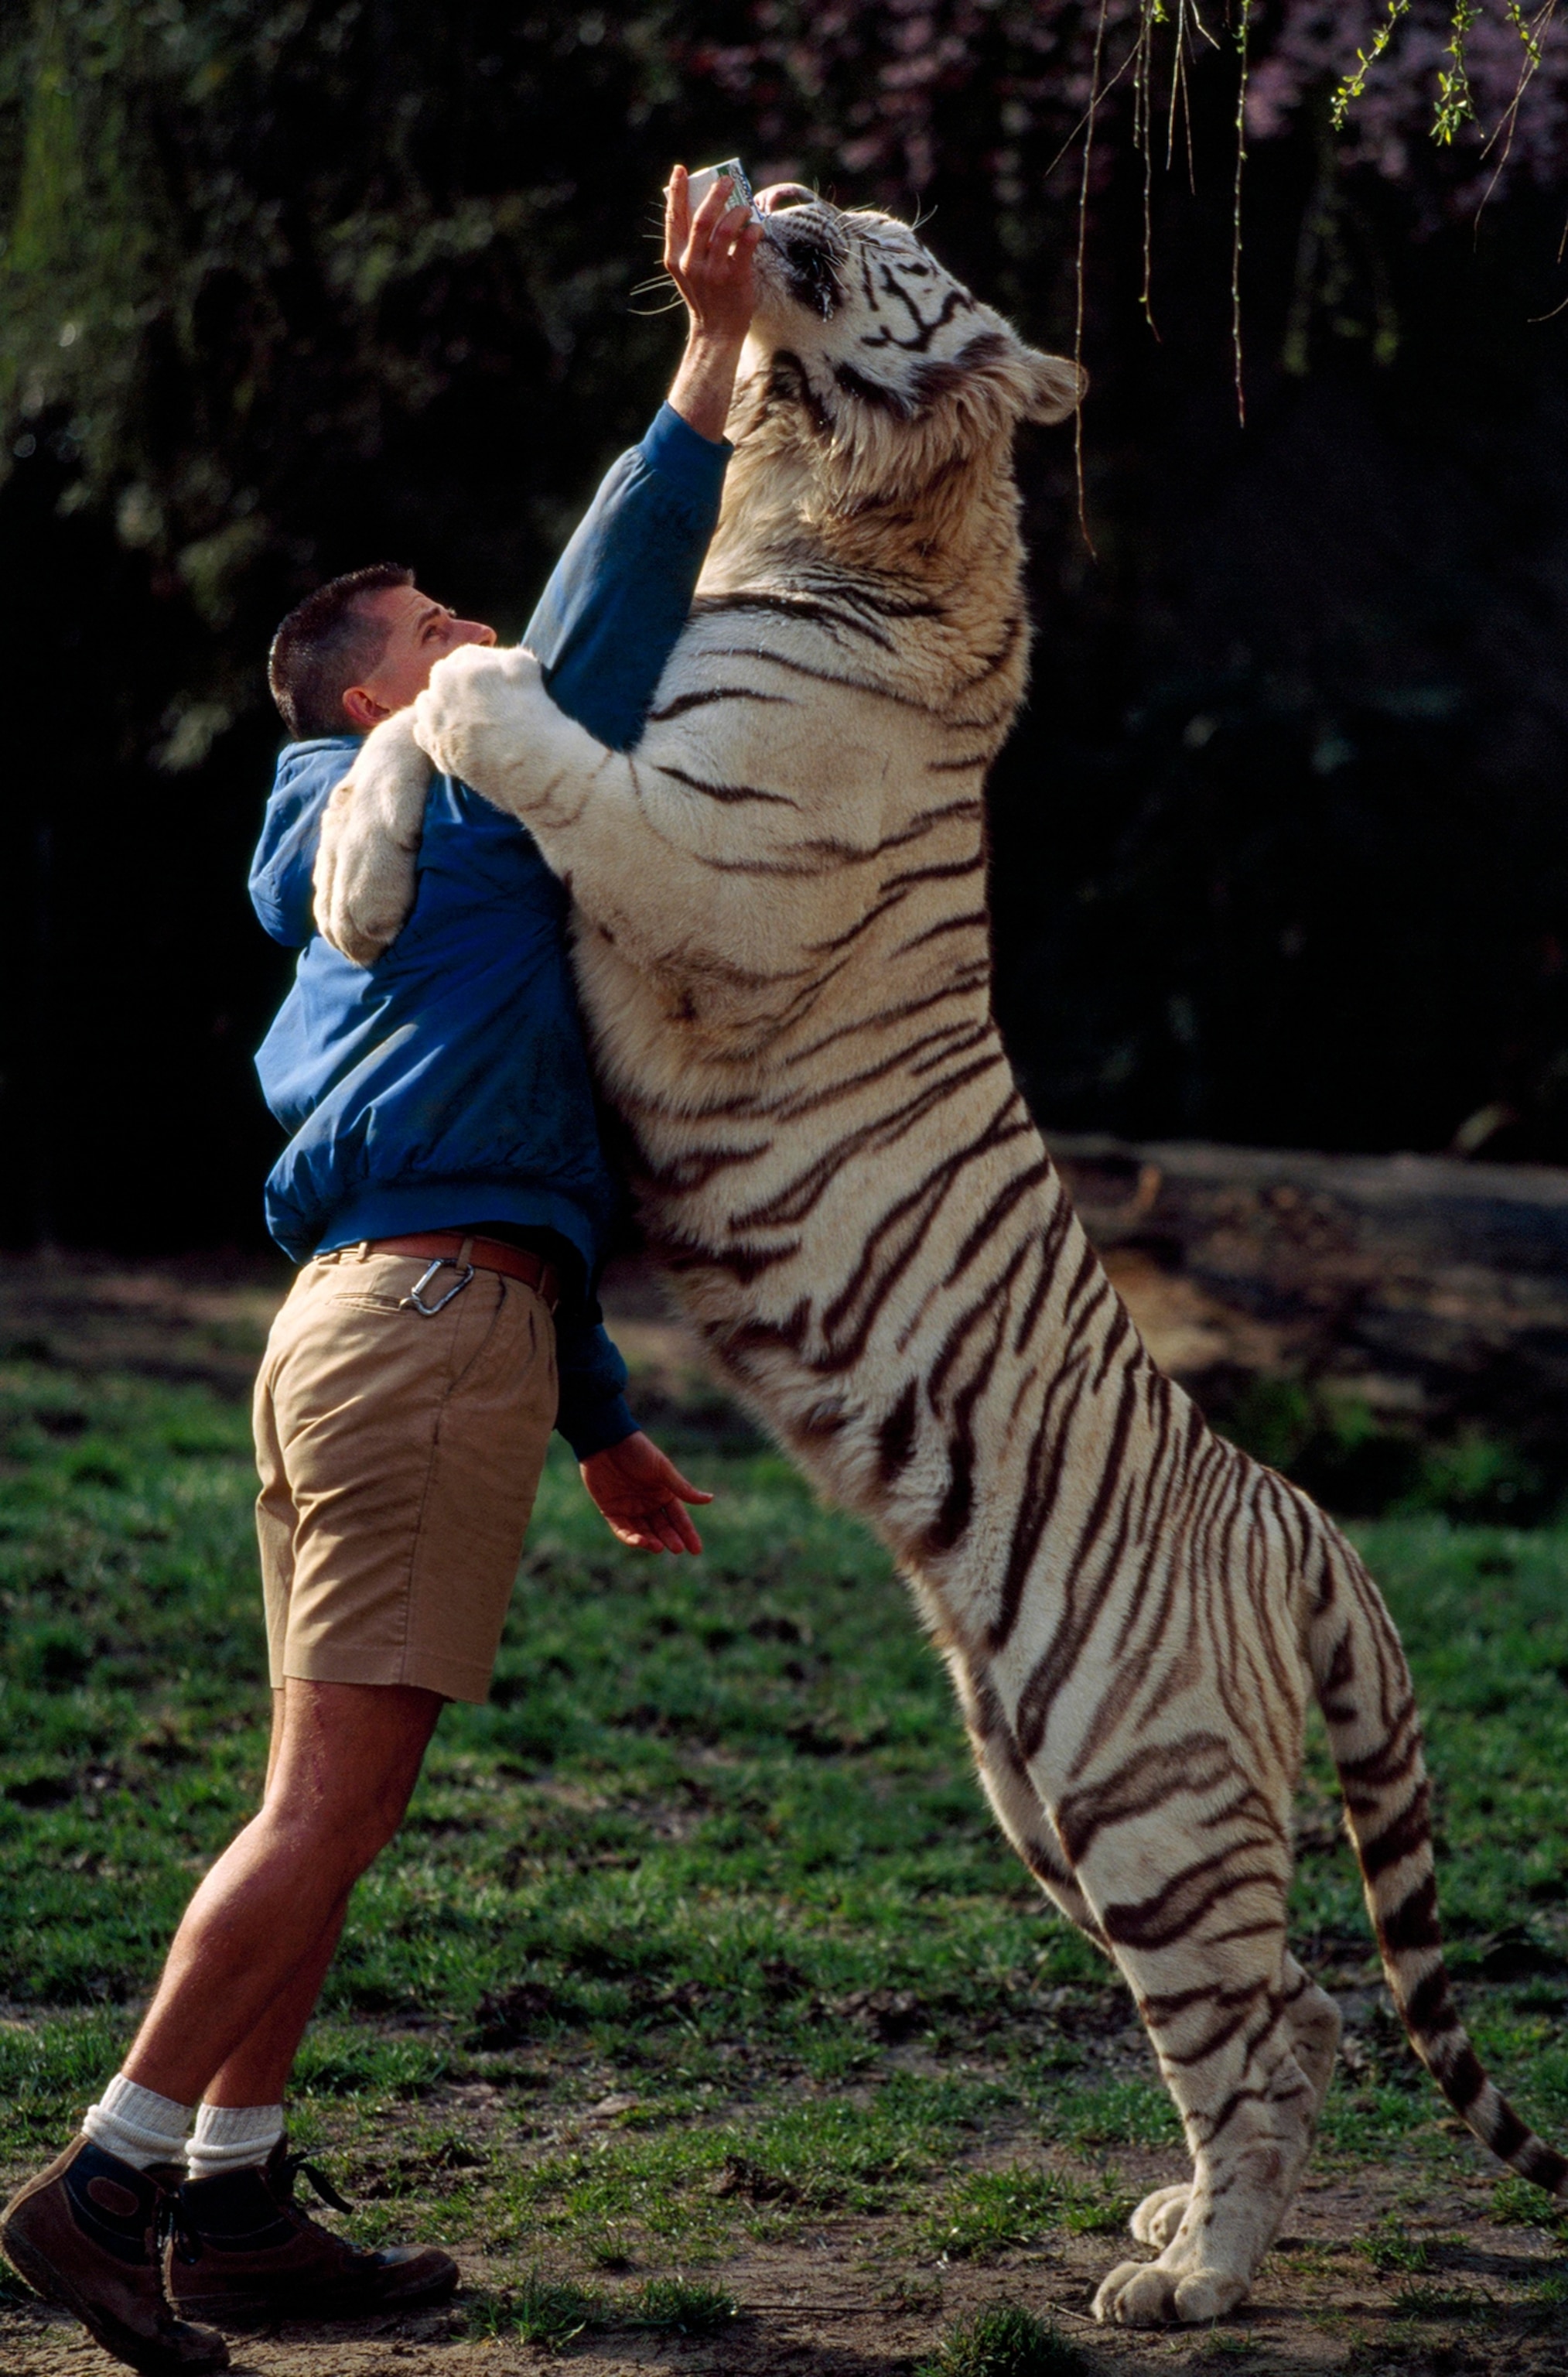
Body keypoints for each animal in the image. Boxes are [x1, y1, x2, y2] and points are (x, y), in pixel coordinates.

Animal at [311, 188, 1568, 2326]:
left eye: (885, 239)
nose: (778, 197)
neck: (820, 499)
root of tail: (1310, 1527)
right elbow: (417, 720)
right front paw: (351, 882)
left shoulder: (685, 854)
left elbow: (489, 704)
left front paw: (425, 755)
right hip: (1035, 1782)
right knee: (1303, 2011)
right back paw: (1172, 2227)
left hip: (1137, 1787)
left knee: (1247, 2016)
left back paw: (1192, 2283)